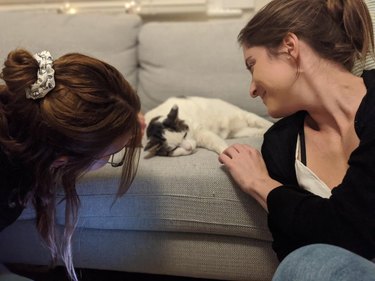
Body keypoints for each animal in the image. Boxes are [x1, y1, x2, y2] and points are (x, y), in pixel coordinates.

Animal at [144, 95, 274, 158]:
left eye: (185, 135)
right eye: (174, 148)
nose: (189, 148)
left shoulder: (200, 131)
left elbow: (216, 141)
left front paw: (226, 151)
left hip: (243, 116)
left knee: (261, 121)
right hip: (241, 132)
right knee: (256, 130)